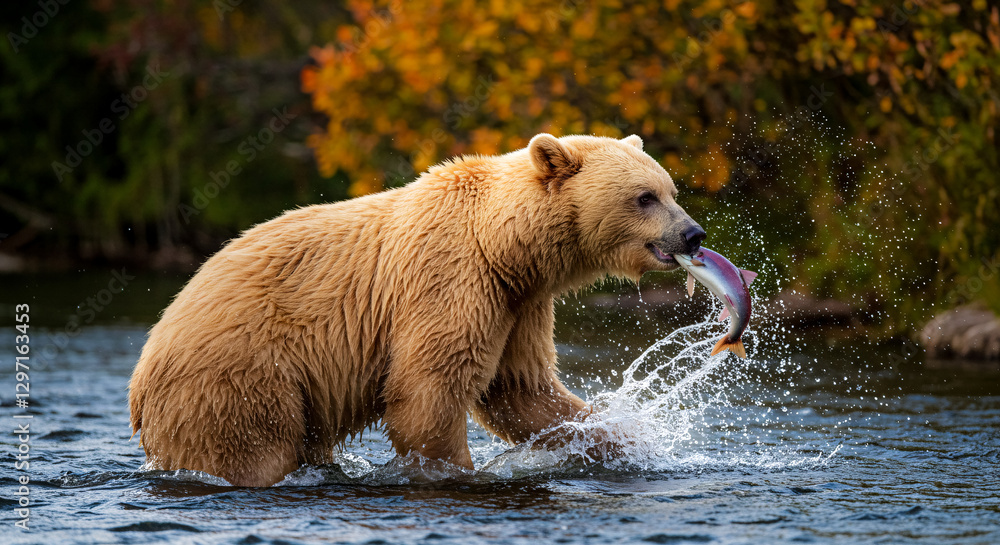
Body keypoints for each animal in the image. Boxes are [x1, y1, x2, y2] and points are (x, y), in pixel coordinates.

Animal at [128, 133, 706, 486]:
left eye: (670, 189)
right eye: (644, 197)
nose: (693, 234)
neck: (504, 245)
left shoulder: (518, 303)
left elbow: (522, 390)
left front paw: (622, 440)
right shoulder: (450, 281)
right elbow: (430, 388)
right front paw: (455, 471)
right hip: (240, 377)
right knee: (251, 452)